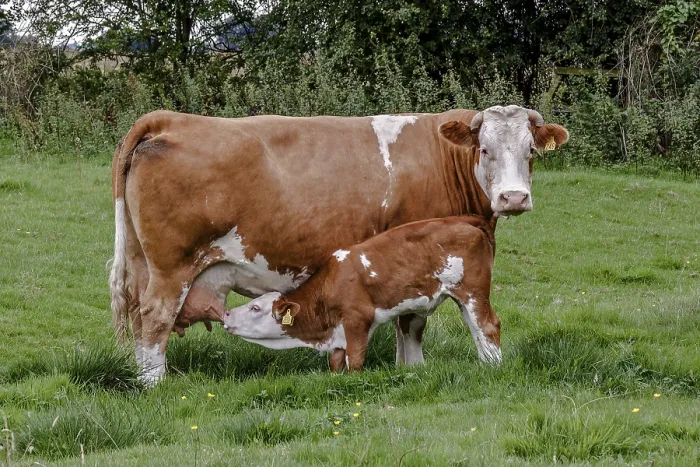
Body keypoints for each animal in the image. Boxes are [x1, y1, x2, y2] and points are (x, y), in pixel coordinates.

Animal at [222, 215, 499, 371]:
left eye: (255, 308)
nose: (225, 314)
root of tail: (464, 220)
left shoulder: (357, 319)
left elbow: (354, 361)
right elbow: (336, 363)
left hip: (473, 291)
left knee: (488, 326)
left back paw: (494, 367)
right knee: (476, 330)